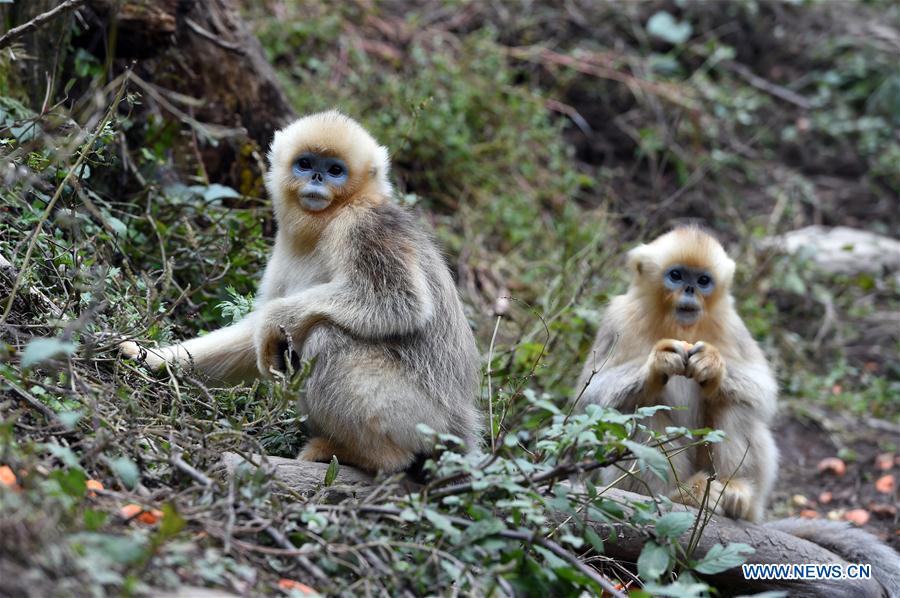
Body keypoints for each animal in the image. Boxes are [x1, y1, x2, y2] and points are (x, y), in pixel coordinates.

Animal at [125, 111, 486, 474]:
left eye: (335, 170)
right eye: (305, 163)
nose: (316, 177)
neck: (330, 218)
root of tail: (460, 427)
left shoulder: (363, 224)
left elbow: (400, 302)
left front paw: (272, 321)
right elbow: (251, 336)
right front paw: (150, 358)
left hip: (421, 420)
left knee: (327, 337)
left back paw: (368, 455)